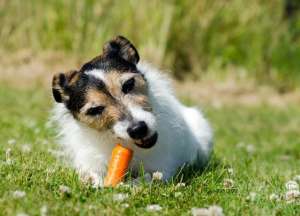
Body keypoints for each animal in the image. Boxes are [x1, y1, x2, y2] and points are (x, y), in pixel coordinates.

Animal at [50, 36, 212, 186]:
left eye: (128, 84)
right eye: (95, 110)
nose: (138, 129)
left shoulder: (162, 169)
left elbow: (147, 177)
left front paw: (130, 185)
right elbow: (91, 174)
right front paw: (94, 182)